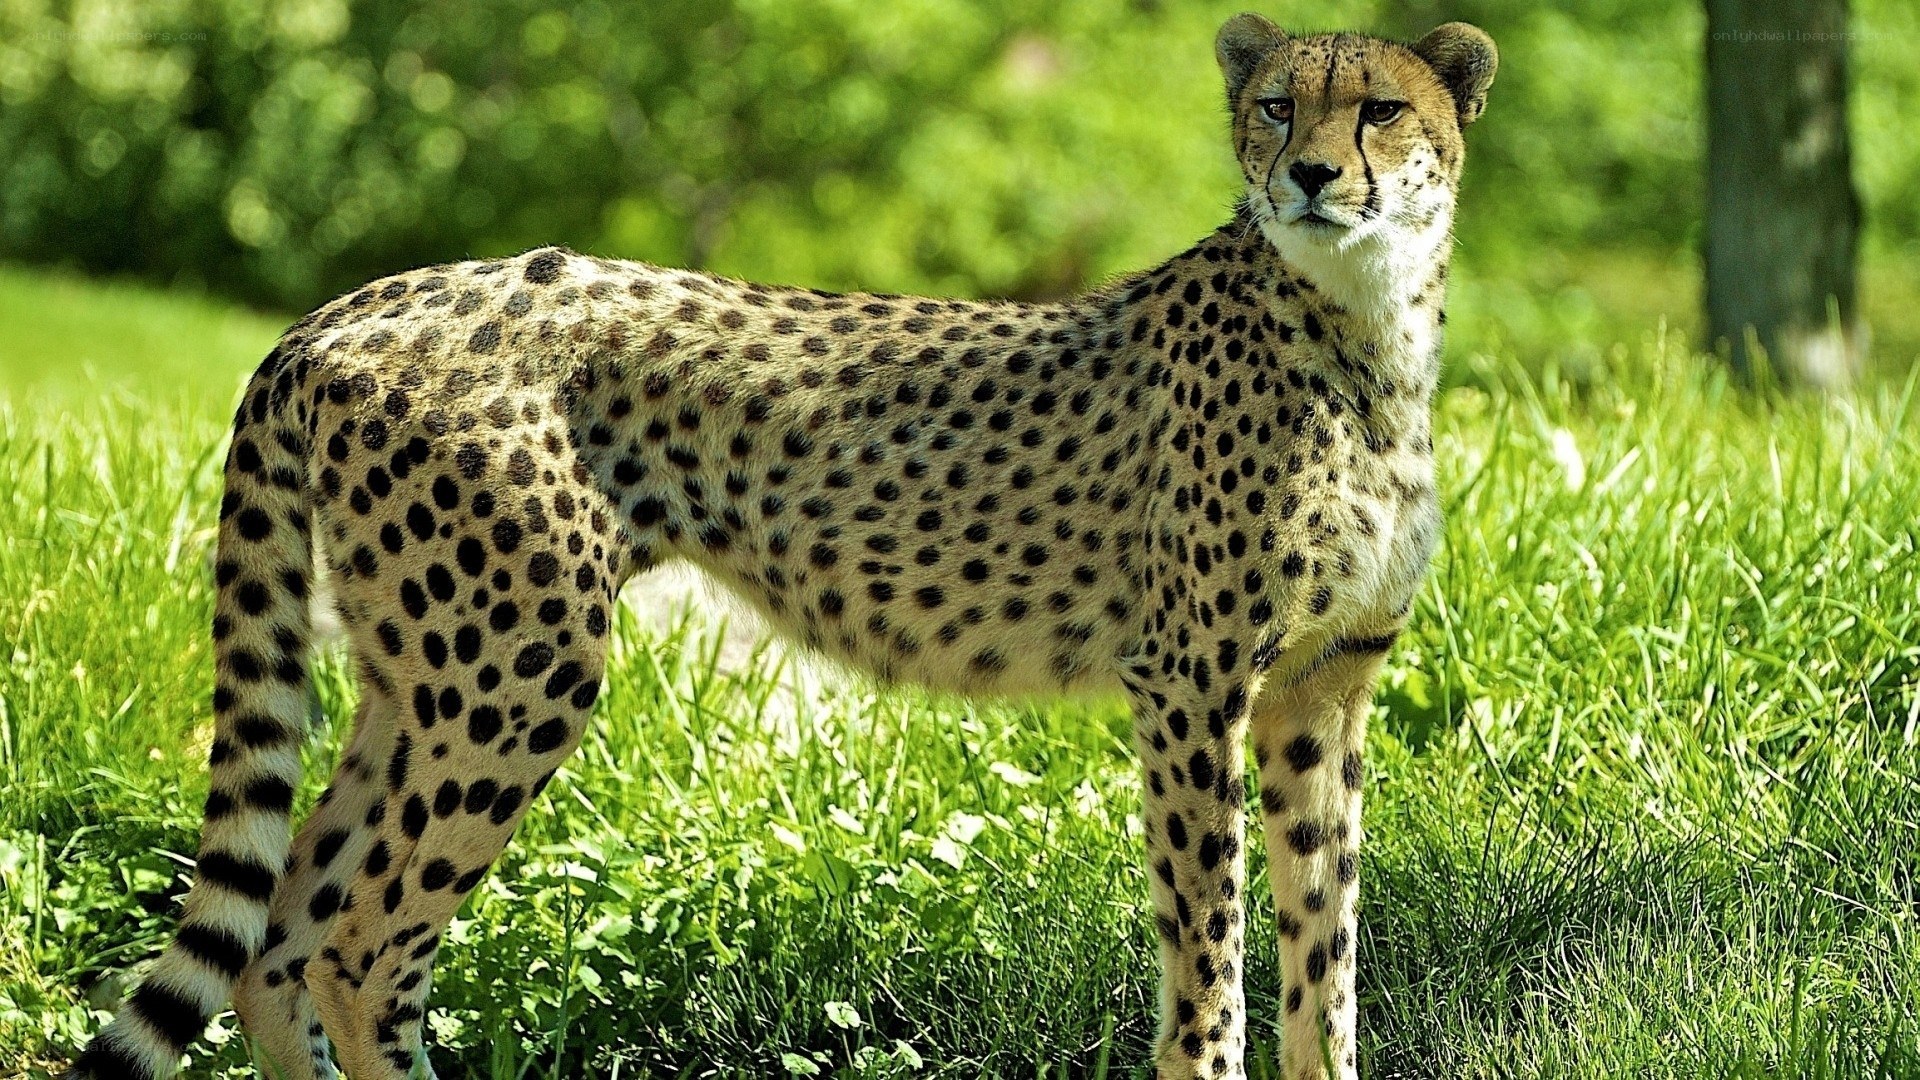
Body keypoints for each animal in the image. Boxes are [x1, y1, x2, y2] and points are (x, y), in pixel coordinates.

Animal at [67, 14, 1495, 1080]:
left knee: (280, 933)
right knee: (361, 950)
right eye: (1276, 107)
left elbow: (1325, 945)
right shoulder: (1192, 681)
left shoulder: (1321, 687)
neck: (1364, 330)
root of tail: (354, 303)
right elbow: (1212, 947)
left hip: (417, 673)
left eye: (1379, 110)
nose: (1310, 177)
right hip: (517, 668)